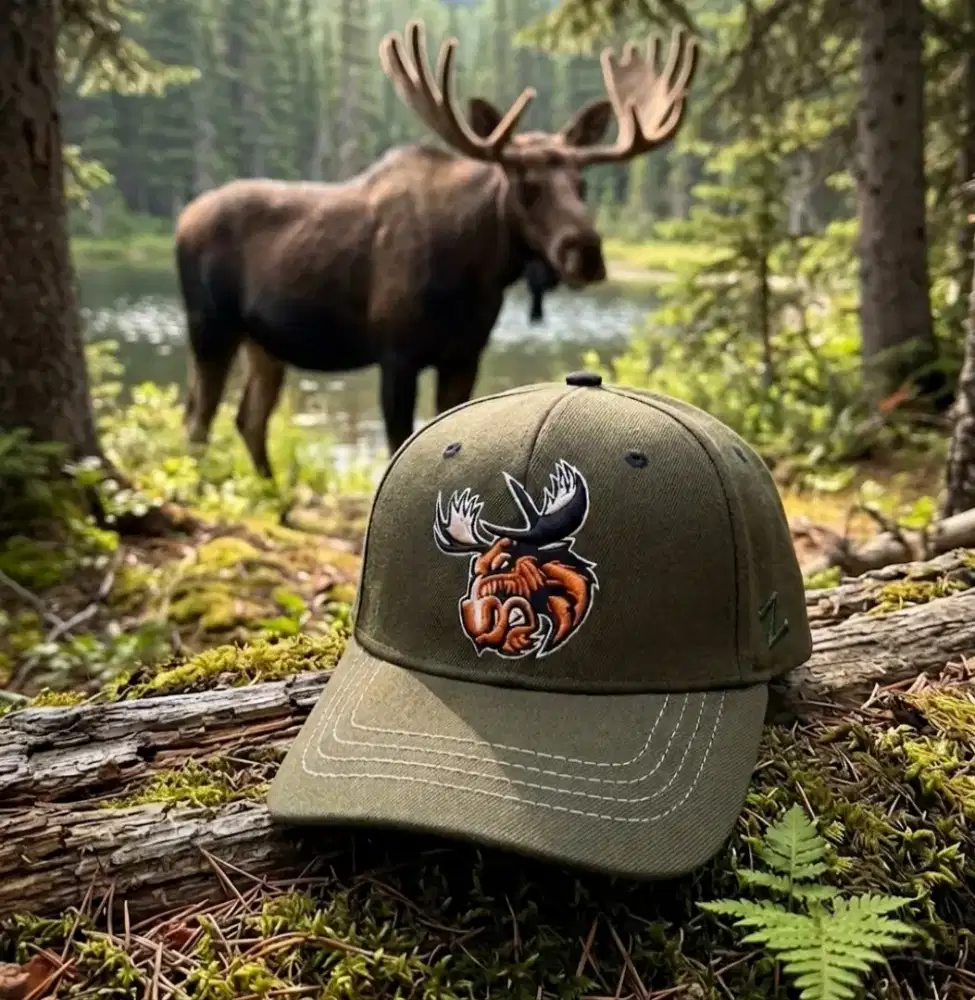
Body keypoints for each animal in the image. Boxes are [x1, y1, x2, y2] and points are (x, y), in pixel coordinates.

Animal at [175, 18, 699, 480]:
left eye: (582, 183)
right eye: (525, 185)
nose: (586, 253)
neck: (475, 270)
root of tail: (182, 218)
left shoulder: (464, 354)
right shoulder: (396, 354)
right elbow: (396, 444)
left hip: (264, 342)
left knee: (248, 417)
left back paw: (276, 501)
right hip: (211, 326)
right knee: (198, 417)